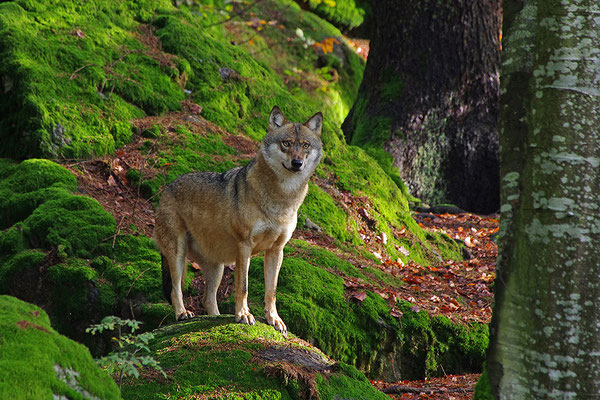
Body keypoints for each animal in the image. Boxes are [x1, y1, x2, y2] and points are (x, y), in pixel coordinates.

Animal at [155, 104, 324, 332]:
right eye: (286, 143)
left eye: (305, 145)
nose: (297, 163)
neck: (281, 199)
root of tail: (167, 188)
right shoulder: (244, 246)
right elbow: (243, 287)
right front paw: (243, 314)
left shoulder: (276, 250)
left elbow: (272, 291)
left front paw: (273, 319)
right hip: (178, 255)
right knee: (175, 290)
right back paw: (182, 313)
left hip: (217, 268)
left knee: (208, 299)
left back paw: (216, 317)